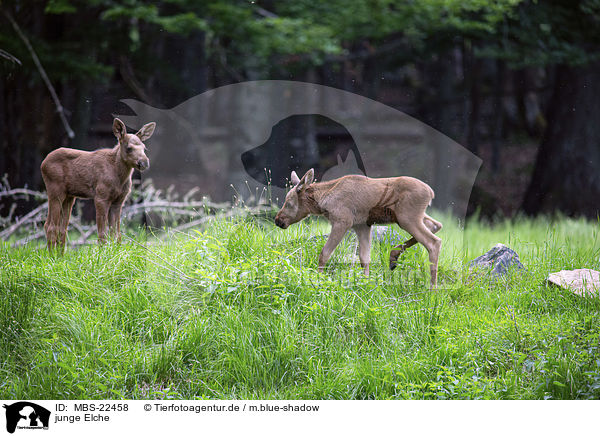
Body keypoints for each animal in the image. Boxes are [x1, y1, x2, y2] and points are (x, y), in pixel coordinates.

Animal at [40, 117, 156, 250]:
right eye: (129, 148)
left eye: (144, 147)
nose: (144, 162)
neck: (119, 178)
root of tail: (43, 164)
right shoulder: (101, 197)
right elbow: (102, 234)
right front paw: (103, 252)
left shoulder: (119, 201)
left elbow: (116, 235)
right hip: (55, 191)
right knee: (50, 226)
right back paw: (52, 254)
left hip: (69, 196)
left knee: (61, 228)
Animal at [274, 169, 442, 290]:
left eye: (289, 202)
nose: (278, 220)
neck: (323, 202)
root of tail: (431, 193)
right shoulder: (362, 225)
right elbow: (364, 258)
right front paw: (366, 285)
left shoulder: (342, 221)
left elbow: (324, 254)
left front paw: (318, 280)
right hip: (412, 217)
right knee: (436, 225)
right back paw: (393, 257)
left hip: (407, 218)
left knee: (434, 242)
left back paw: (432, 290)